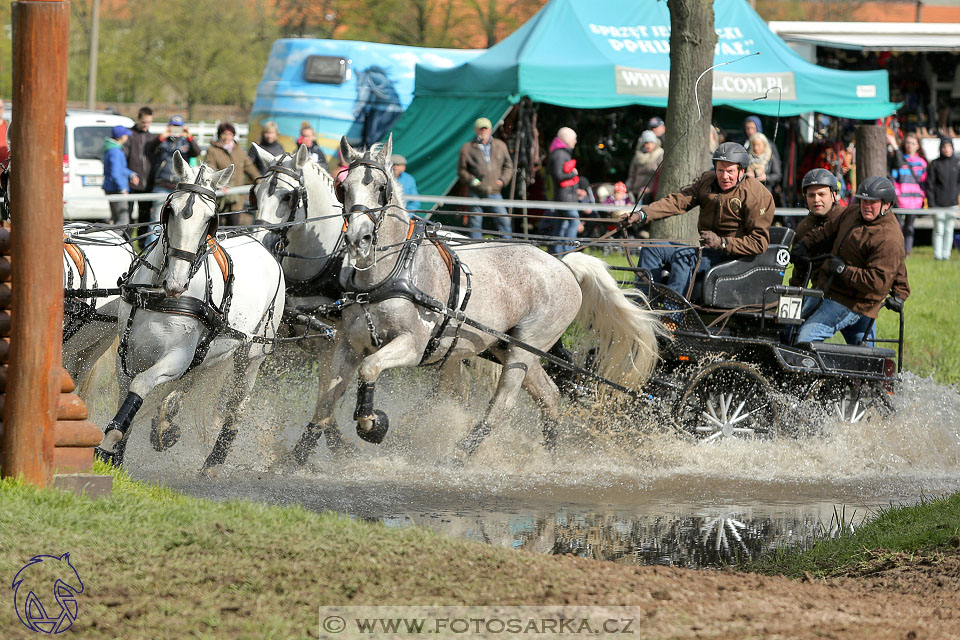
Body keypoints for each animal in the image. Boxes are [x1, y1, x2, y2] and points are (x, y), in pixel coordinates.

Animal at [96, 154, 284, 476]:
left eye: (210, 220)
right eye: (169, 210)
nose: (177, 282)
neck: (161, 295)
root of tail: (264, 248)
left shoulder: (176, 357)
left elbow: (140, 385)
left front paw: (108, 443)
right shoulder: (129, 353)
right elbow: (127, 394)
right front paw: (116, 456)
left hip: (251, 357)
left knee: (236, 407)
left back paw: (212, 463)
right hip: (208, 354)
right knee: (187, 386)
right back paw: (166, 426)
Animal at [292, 136, 664, 464]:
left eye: (381, 188)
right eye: (343, 188)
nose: (359, 238)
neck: (389, 273)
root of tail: (563, 266)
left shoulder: (412, 345)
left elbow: (369, 369)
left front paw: (371, 423)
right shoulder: (348, 345)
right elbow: (325, 401)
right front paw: (296, 458)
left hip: (527, 347)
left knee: (503, 402)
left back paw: (461, 452)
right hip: (508, 346)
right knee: (549, 396)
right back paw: (548, 457)